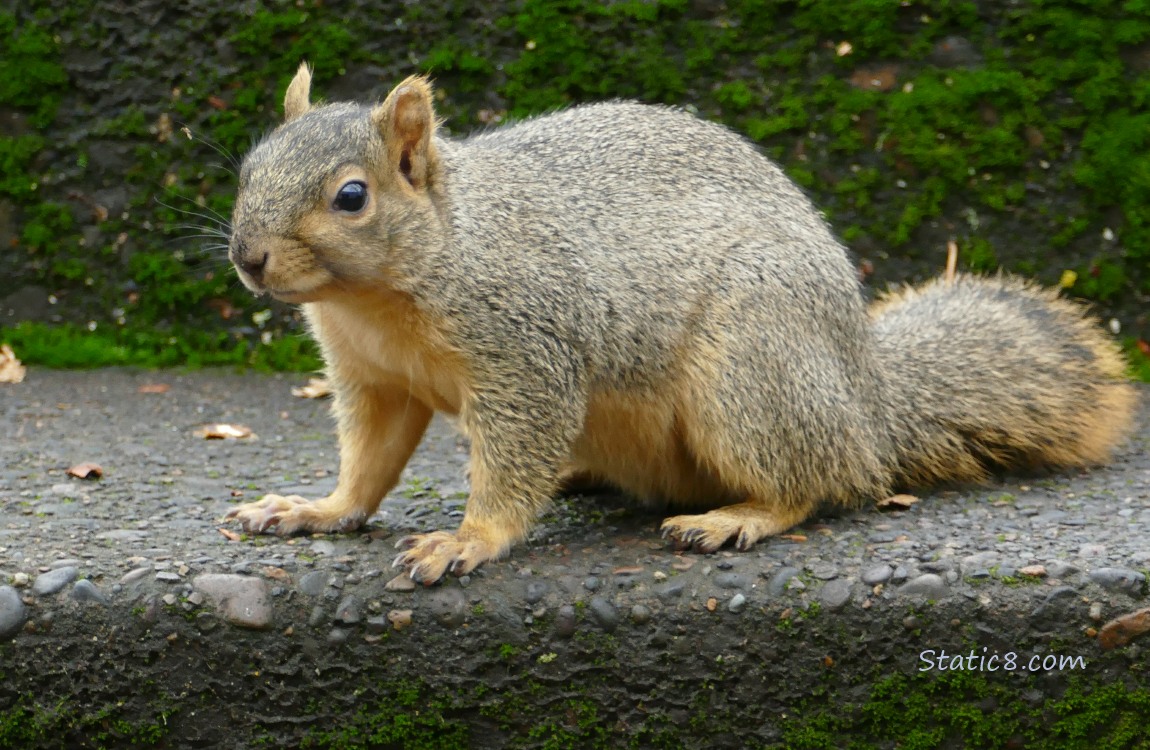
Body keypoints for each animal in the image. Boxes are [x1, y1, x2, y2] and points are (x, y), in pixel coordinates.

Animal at [221, 62, 1131, 586]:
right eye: (247, 167)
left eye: (351, 196)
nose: (247, 257)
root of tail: (869, 399)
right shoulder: (372, 378)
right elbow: (369, 463)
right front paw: (317, 508)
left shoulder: (526, 352)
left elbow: (513, 459)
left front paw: (468, 540)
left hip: (750, 371)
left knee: (825, 482)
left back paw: (737, 518)